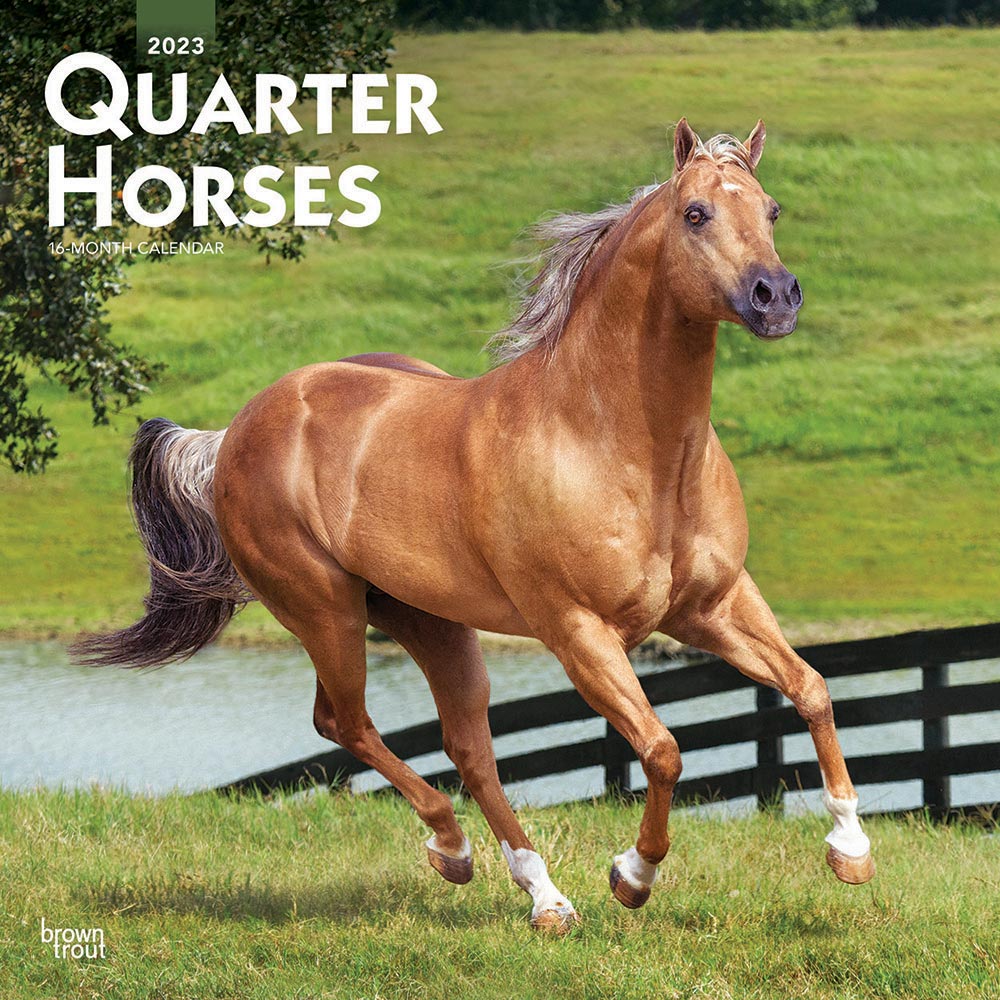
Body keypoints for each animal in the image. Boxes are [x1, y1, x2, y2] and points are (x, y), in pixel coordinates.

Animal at [72, 119, 874, 932]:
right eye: (697, 214)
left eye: (771, 210)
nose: (776, 298)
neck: (614, 441)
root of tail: (230, 434)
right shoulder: (579, 632)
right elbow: (662, 750)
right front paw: (631, 876)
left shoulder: (711, 607)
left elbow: (811, 688)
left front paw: (850, 849)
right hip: (326, 610)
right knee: (346, 724)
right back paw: (453, 849)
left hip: (433, 622)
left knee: (468, 749)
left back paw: (541, 895)